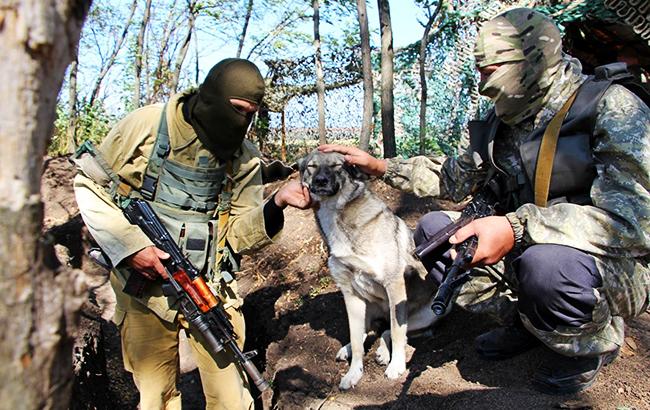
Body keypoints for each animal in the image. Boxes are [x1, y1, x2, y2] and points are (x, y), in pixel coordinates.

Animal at [300, 151, 440, 390]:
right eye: (312, 166)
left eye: (336, 166)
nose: (320, 181)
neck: (335, 213)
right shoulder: (350, 295)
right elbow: (357, 341)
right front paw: (353, 373)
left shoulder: (394, 285)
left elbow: (397, 331)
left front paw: (396, 365)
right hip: (366, 307)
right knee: (369, 331)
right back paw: (348, 348)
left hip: (427, 314)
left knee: (392, 330)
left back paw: (385, 353)